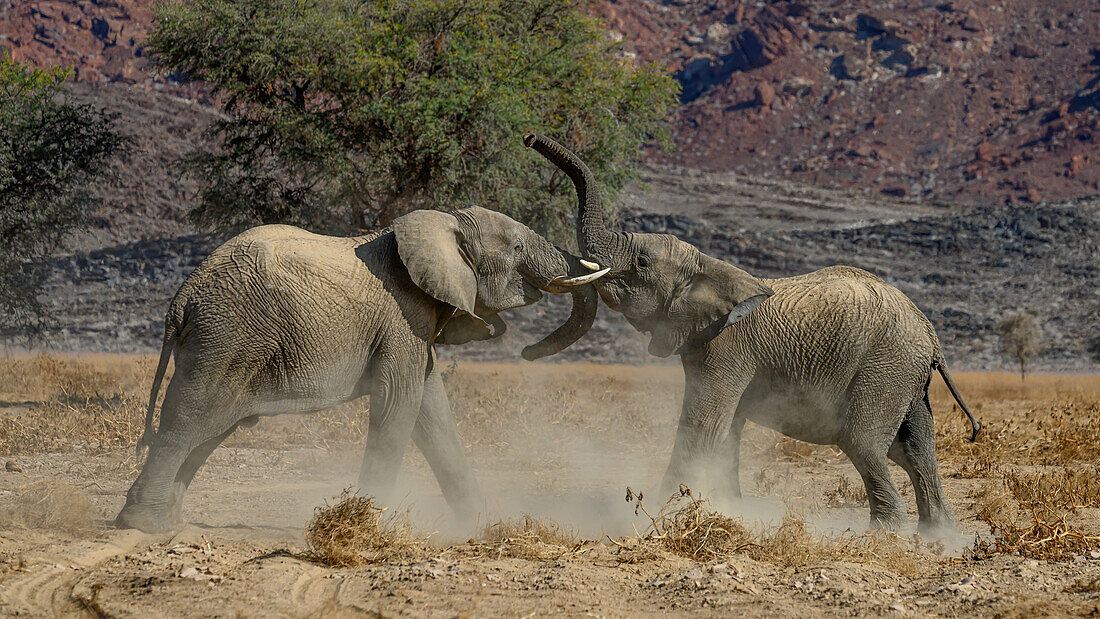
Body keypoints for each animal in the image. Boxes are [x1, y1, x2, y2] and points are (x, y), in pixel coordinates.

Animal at [116, 206, 611, 532]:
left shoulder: (416, 325)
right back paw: (145, 525)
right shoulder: (403, 316)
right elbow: (399, 406)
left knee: (212, 427)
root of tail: (184, 295)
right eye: (518, 246)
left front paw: (481, 527)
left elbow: (433, 413)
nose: (528, 353)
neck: (440, 222)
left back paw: (168, 520)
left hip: (228, 342)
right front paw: (366, 523)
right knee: (190, 418)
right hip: (227, 334)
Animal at [521, 135, 981, 532]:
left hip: (885, 367)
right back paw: (938, 537)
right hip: (905, 376)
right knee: (916, 448)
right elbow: (727, 434)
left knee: (865, 443)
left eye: (642, 263)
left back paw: (882, 535)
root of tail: (930, 334)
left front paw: (656, 518)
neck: (708, 265)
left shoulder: (725, 348)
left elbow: (703, 426)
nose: (529, 138)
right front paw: (731, 513)